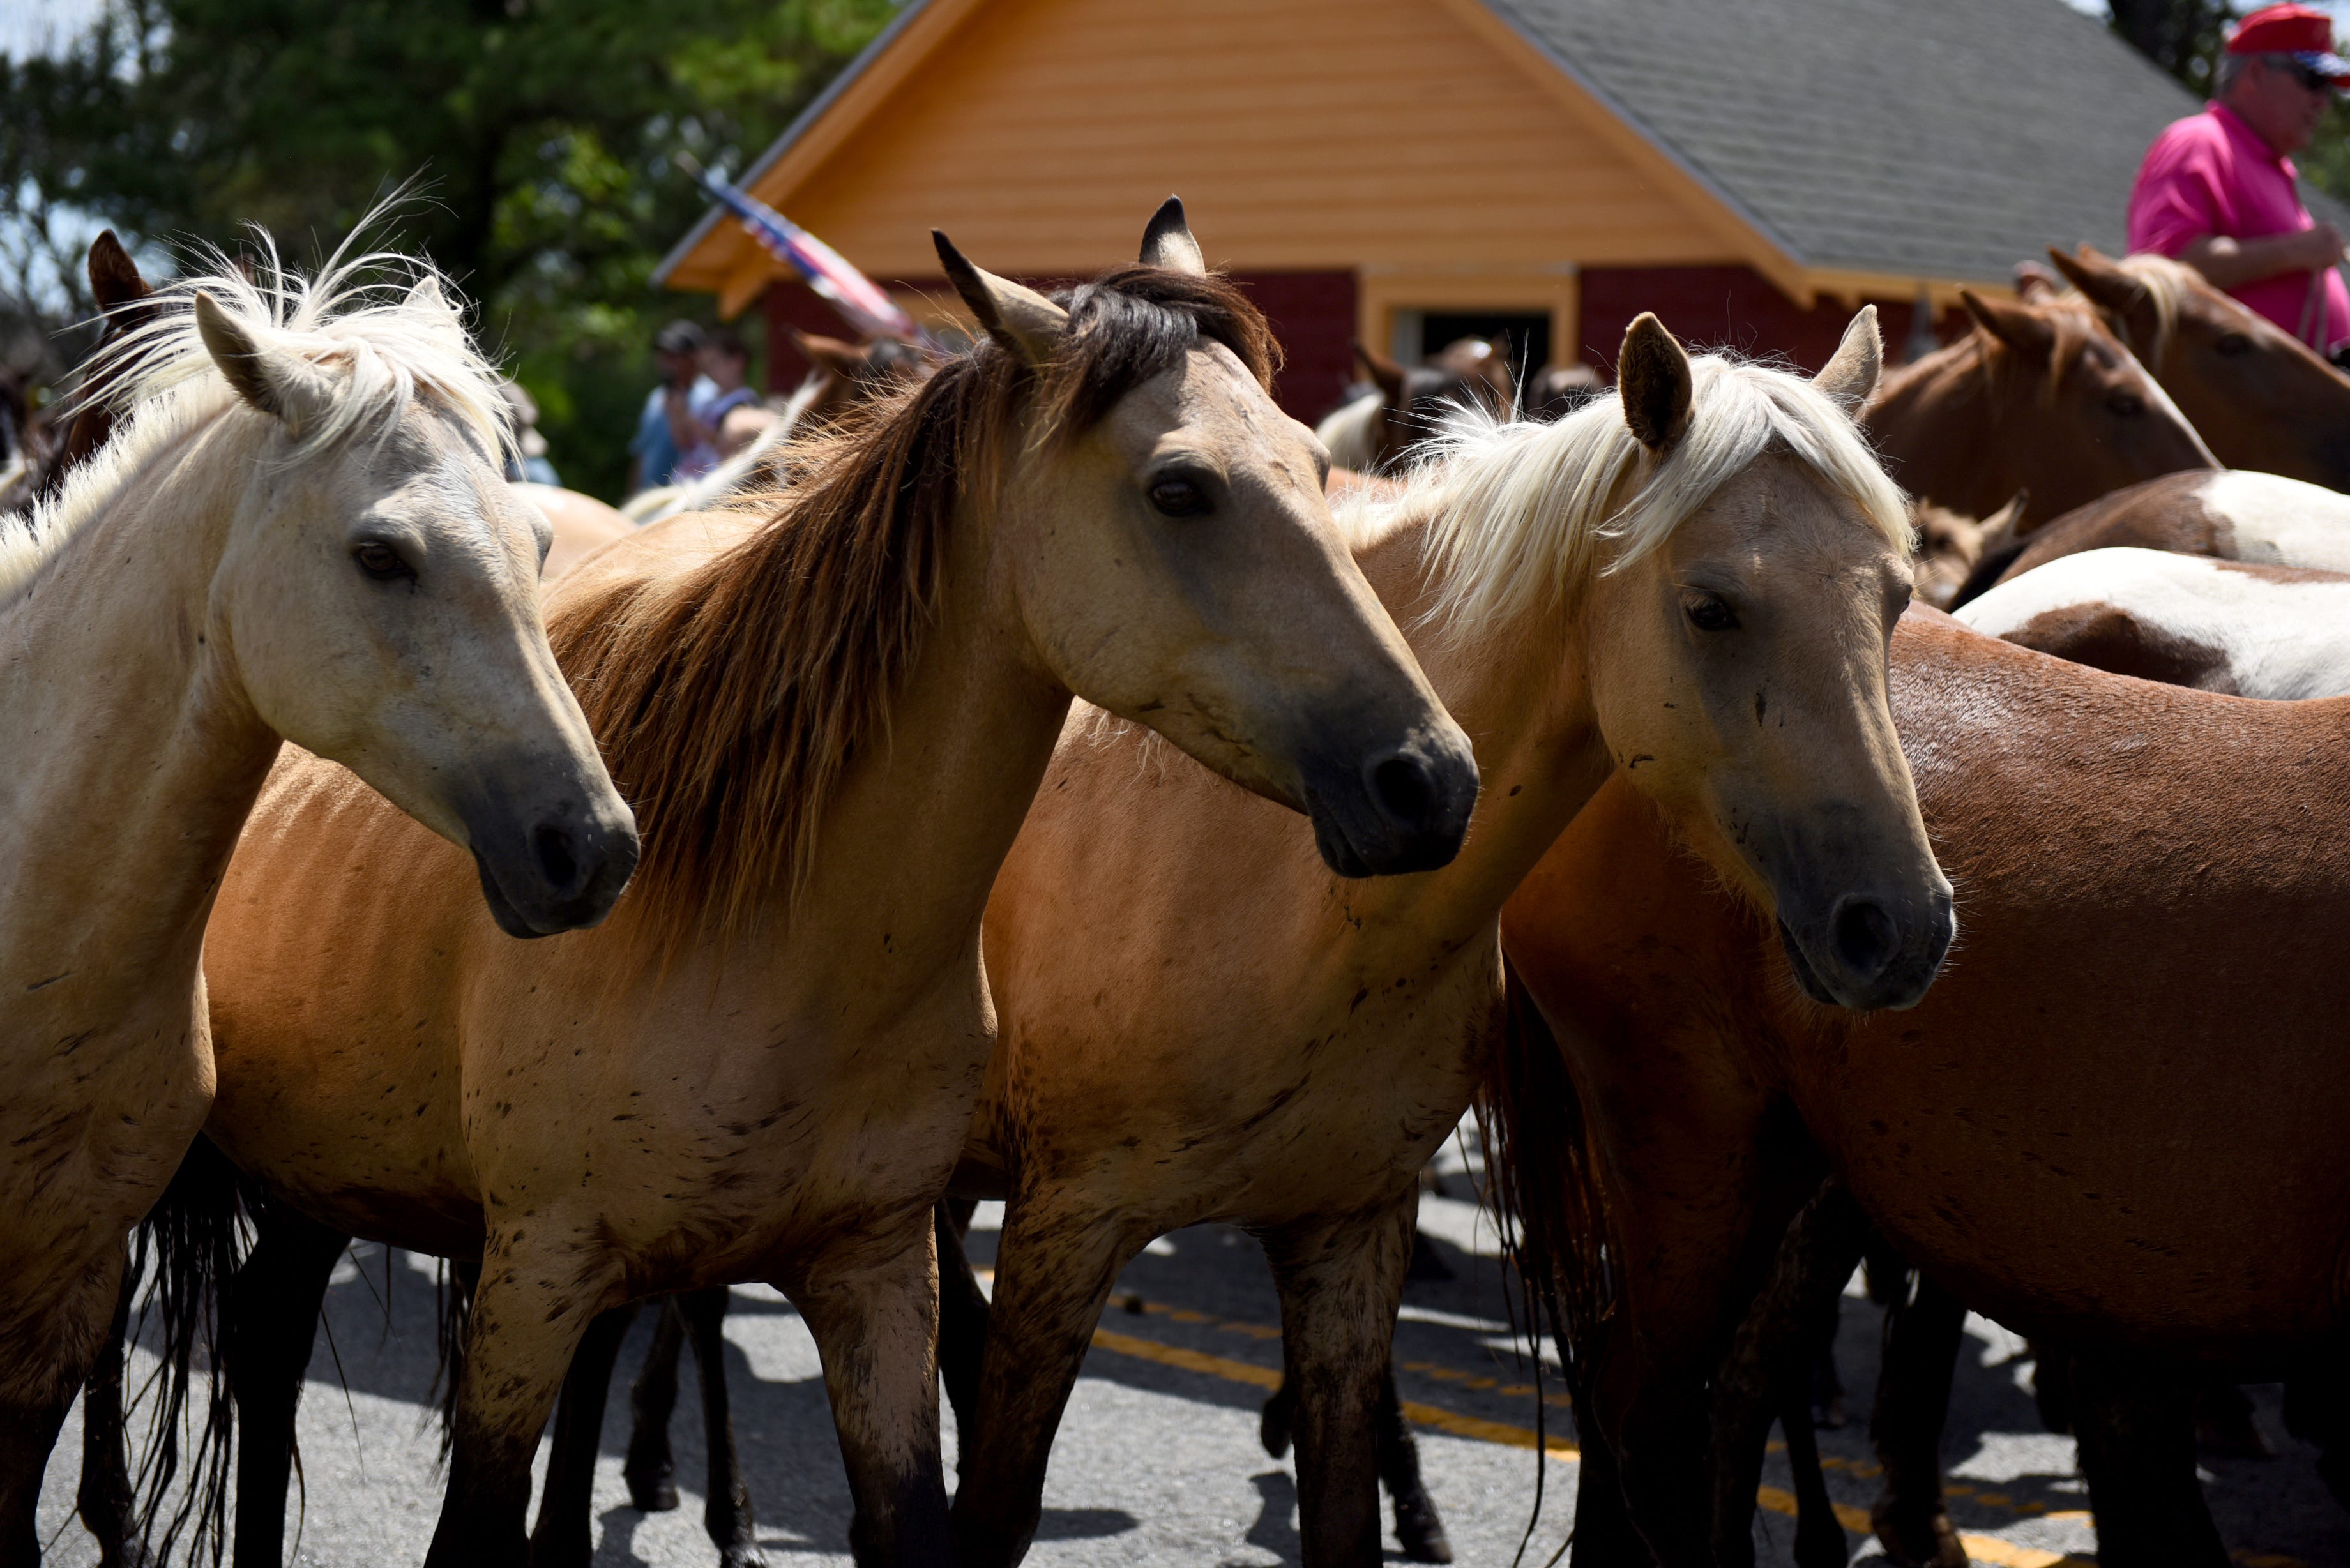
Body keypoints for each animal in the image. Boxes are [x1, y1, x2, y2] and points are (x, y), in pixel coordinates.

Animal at [147, 202, 1476, 1568]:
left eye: (1317, 471)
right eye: (1180, 489)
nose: (1427, 778)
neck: (767, 932)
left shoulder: (872, 1270)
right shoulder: (537, 1277)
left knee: (266, 1334)